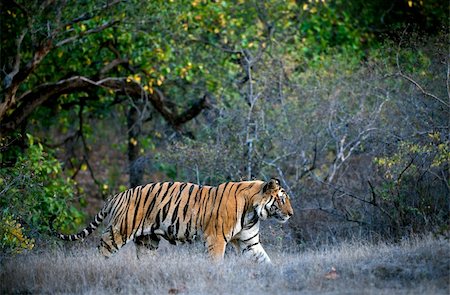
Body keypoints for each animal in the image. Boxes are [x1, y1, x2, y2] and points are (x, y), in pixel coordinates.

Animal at [54, 178, 294, 264]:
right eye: (282, 199)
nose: (291, 214)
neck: (253, 211)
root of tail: (117, 195)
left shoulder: (249, 242)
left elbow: (265, 261)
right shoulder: (216, 239)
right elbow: (216, 263)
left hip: (147, 241)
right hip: (120, 231)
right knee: (102, 249)